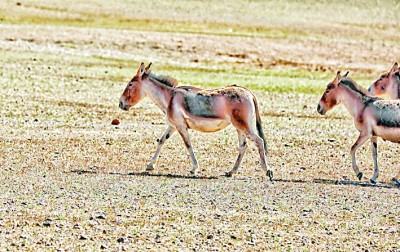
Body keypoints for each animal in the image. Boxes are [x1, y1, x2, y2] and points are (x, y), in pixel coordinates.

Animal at [118, 64, 272, 180]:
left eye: (130, 84)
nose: (121, 103)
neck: (169, 97)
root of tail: (249, 93)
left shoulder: (181, 126)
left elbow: (188, 145)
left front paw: (194, 168)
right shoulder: (173, 126)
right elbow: (161, 141)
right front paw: (150, 166)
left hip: (243, 126)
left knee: (259, 141)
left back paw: (267, 171)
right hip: (239, 127)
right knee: (243, 146)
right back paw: (231, 172)